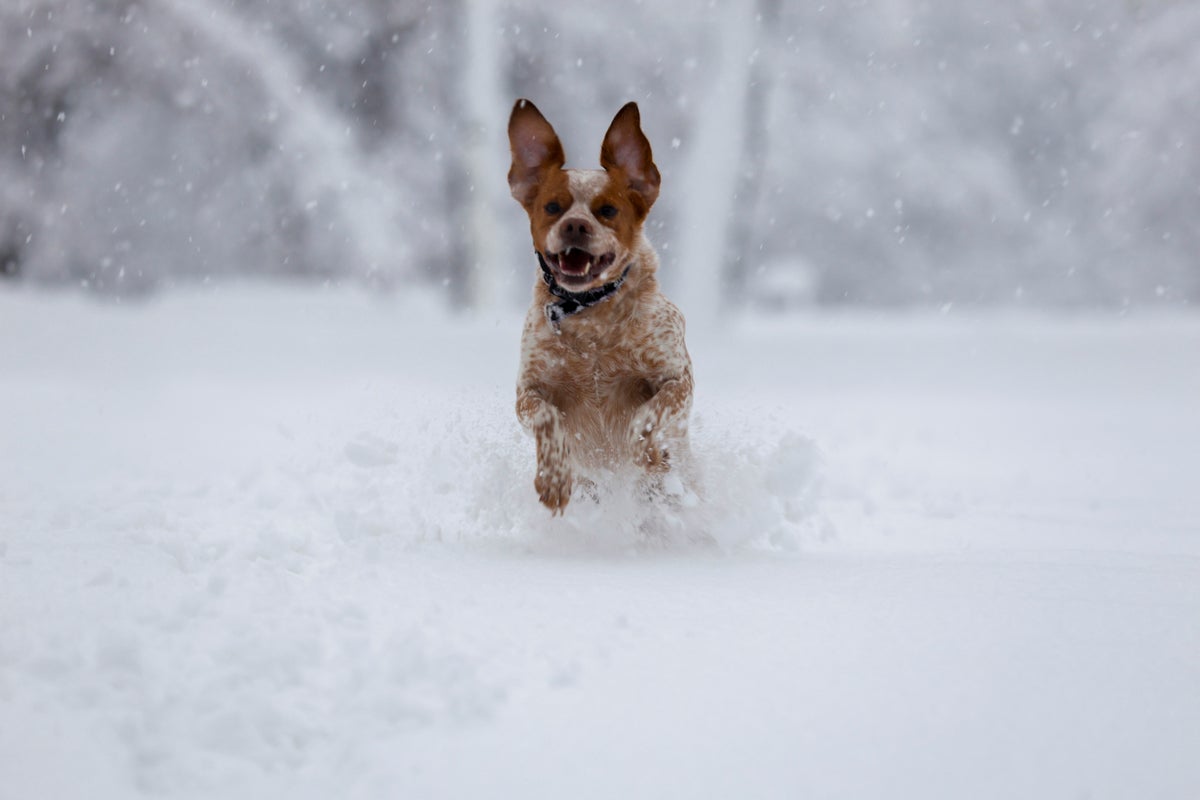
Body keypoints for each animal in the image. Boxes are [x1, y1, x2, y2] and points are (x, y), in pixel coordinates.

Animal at [506, 100, 696, 515]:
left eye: (607, 210)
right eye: (552, 207)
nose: (575, 225)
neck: (592, 319)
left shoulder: (677, 377)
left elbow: (651, 412)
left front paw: (645, 449)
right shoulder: (529, 390)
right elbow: (546, 416)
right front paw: (554, 479)